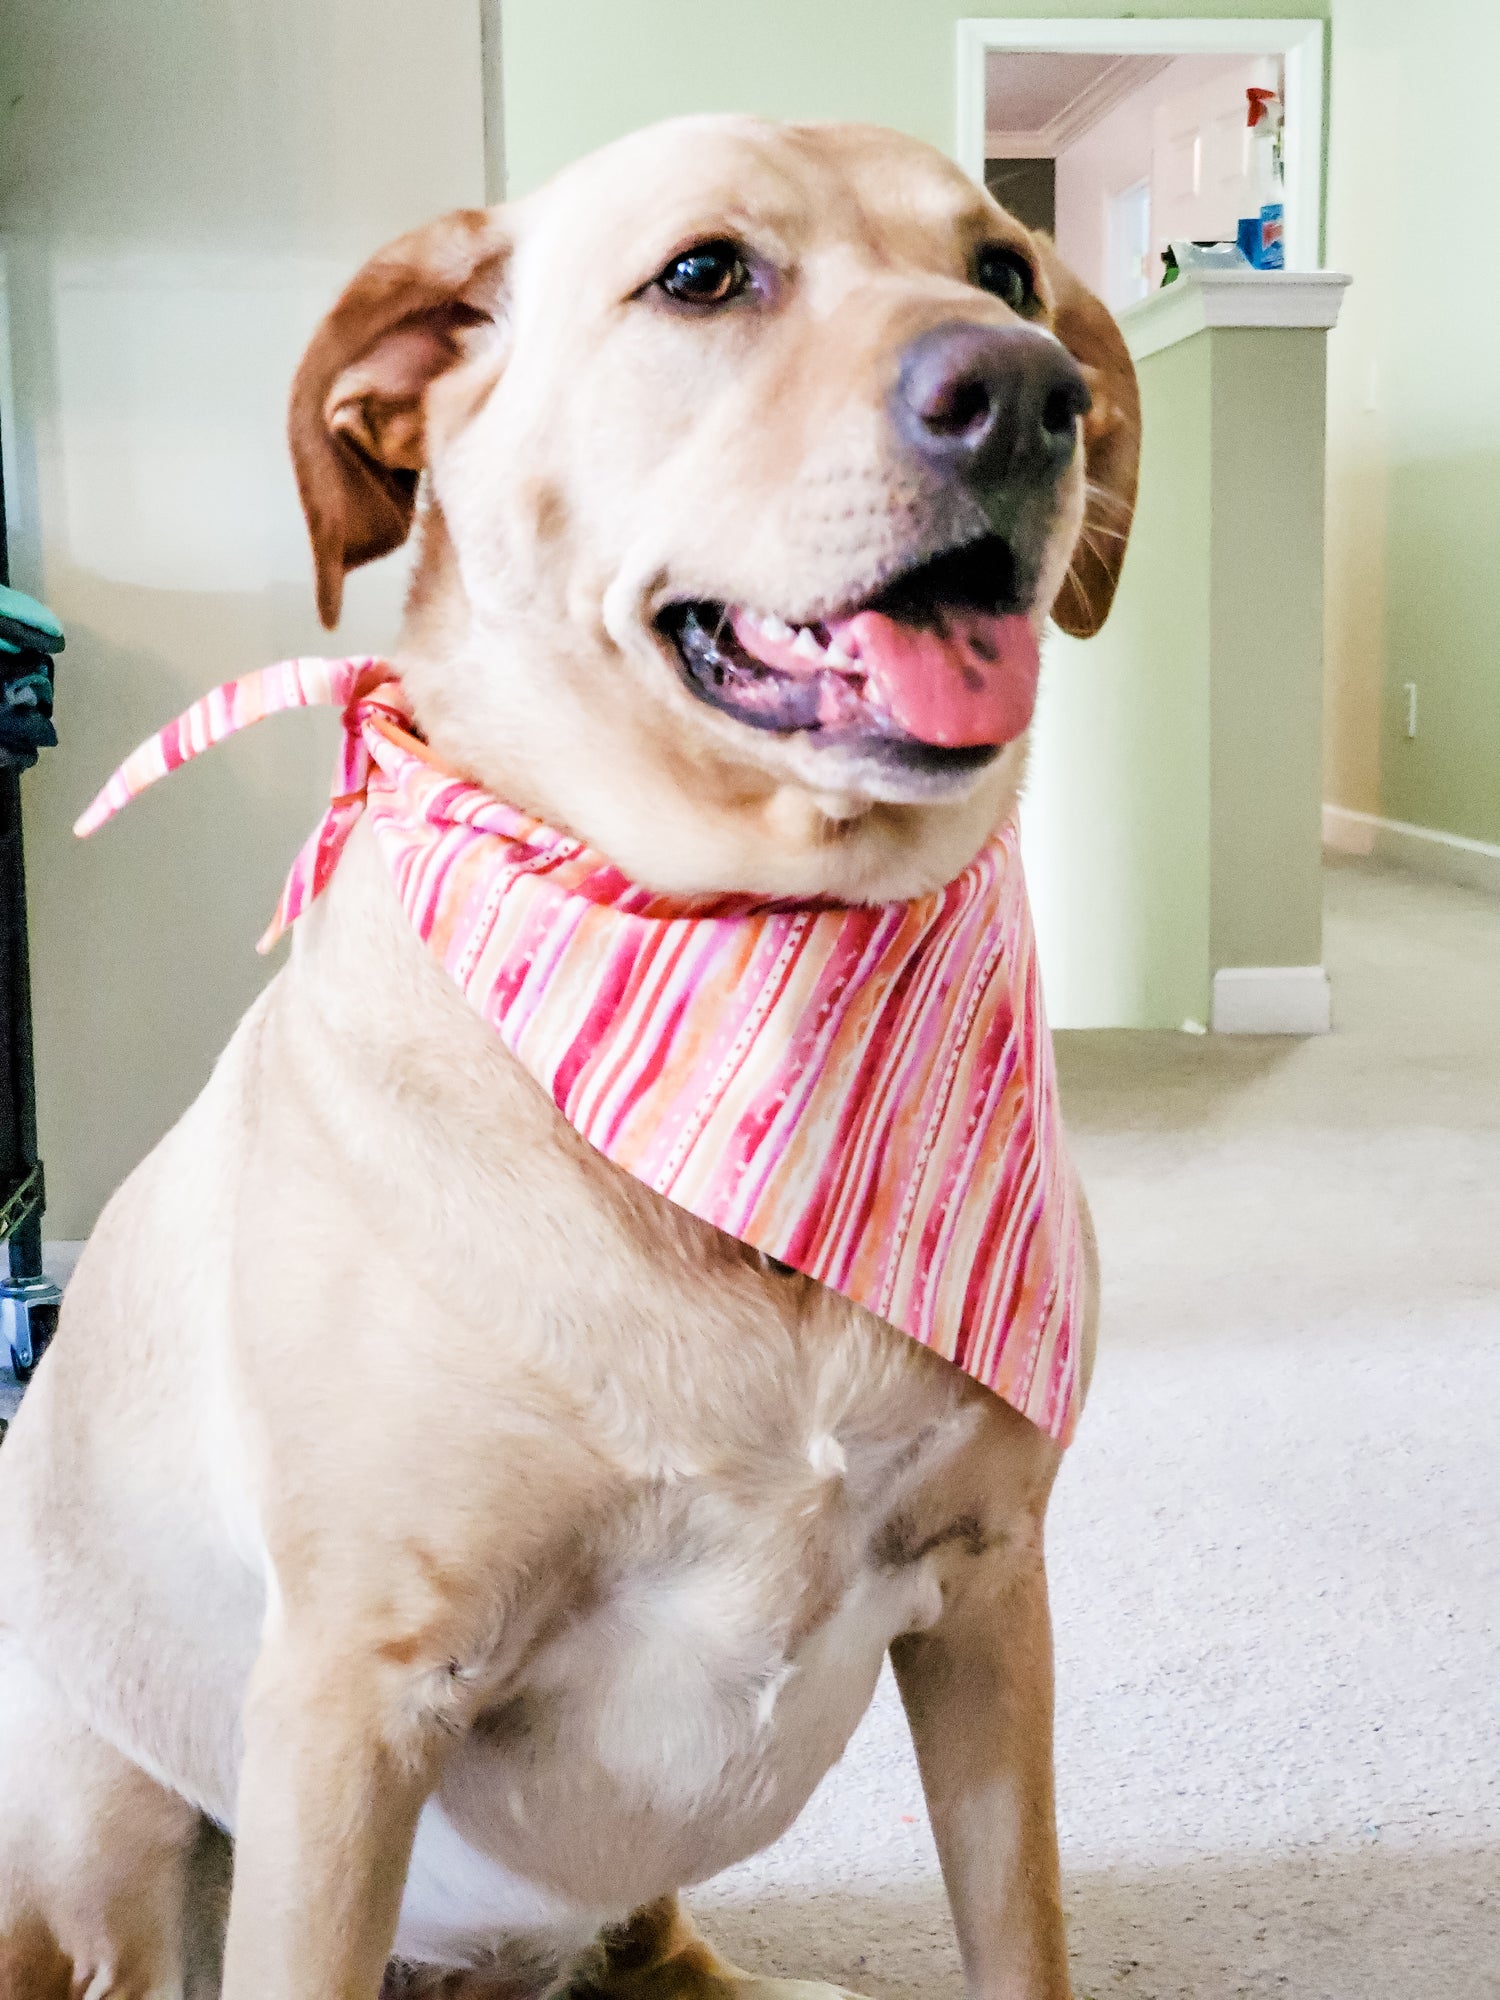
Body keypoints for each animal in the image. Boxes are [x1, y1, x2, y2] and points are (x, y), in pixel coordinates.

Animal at [0, 113, 1136, 2000]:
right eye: (704, 275)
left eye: (1006, 273)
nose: (1030, 394)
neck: (757, 963)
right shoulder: (349, 1707)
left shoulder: (992, 1603)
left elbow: (1023, 1939)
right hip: (109, 1828)